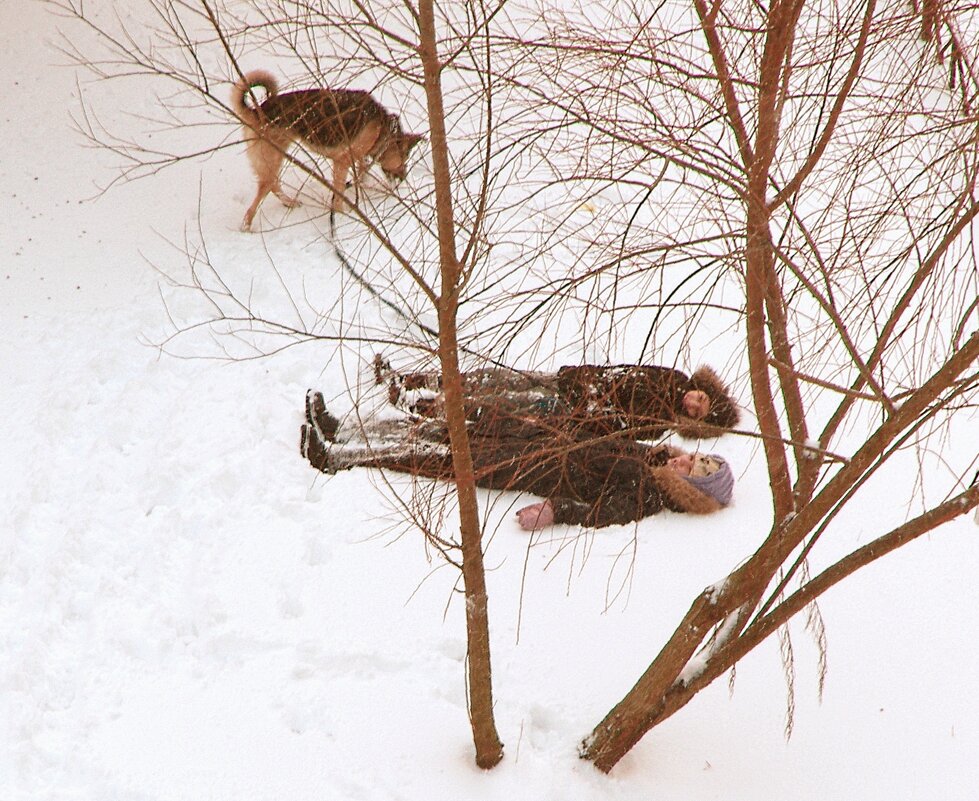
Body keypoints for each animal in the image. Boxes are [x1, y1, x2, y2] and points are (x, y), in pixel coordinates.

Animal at [234, 70, 424, 230]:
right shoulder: (342, 162)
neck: (383, 130)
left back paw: (289, 203)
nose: (403, 179)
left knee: (274, 184)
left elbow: (362, 172)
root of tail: (258, 110)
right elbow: (340, 193)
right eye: (405, 158)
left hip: (276, 155)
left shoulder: (356, 158)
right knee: (265, 189)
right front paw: (342, 215)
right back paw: (246, 225)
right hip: (273, 156)